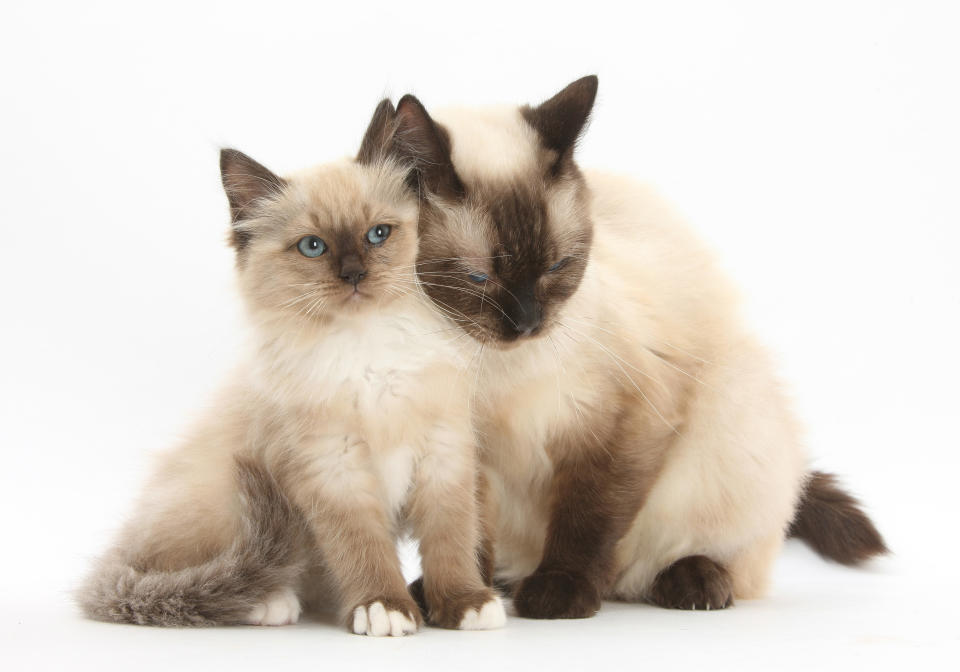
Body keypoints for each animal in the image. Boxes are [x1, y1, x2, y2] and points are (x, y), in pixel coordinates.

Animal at [78, 100, 506, 636]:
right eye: (313, 247)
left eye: (378, 235)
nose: (353, 274)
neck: (369, 350)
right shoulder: (333, 467)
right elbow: (363, 549)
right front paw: (384, 607)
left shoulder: (443, 455)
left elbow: (451, 539)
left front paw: (465, 603)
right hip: (221, 495)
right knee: (202, 574)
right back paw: (269, 602)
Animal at [376, 76, 884, 616]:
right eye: (478, 278)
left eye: (557, 266)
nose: (529, 324)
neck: (493, 369)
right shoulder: (464, 448)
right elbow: (465, 531)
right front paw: (462, 595)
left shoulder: (620, 425)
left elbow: (588, 520)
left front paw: (560, 593)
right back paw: (505, 583)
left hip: (728, 423)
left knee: (712, 558)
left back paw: (687, 582)